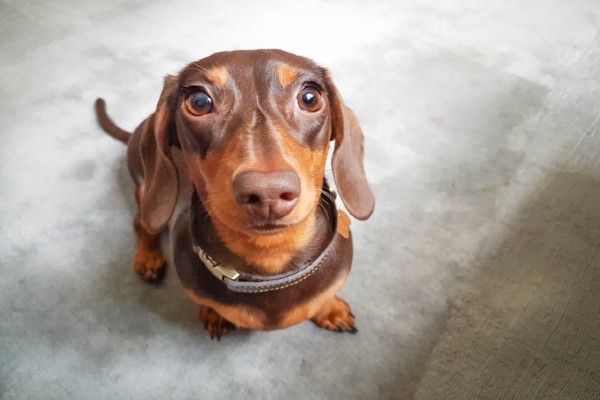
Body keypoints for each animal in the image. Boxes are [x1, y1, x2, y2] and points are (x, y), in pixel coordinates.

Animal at [95, 48, 372, 340]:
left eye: (310, 98)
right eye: (199, 101)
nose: (268, 192)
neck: (270, 261)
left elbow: (324, 297)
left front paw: (330, 309)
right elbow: (206, 302)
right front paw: (214, 314)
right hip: (148, 193)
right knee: (142, 224)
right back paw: (149, 259)